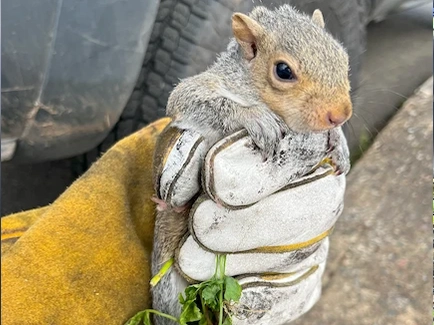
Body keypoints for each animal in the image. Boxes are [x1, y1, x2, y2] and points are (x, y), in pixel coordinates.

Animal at [152, 3, 352, 322]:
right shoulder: (204, 88)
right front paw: (255, 117)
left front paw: (340, 142)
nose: (341, 114)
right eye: (283, 70)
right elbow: (190, 100)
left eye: (343, 59)